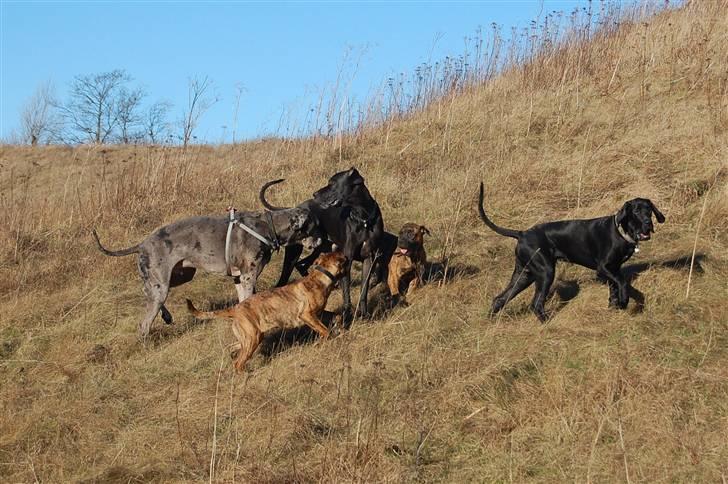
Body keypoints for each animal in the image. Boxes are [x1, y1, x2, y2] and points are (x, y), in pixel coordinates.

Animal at [186, 250, 348, 370]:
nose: (347, 254)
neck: (320, 278)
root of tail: (235, 309)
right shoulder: (306, 315)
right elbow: (325, 331)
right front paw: (325, 341)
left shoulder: (319, 313)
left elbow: (337, 316)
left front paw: (340, 329)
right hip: (253, 337)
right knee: (238, 363)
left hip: (247, 338)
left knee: (232, 348)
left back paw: (233, 356)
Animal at [478, 182, 664, 322]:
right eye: (636, 211)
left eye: (649, 210)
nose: (648, 223)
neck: (621, 232)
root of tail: (522, 233)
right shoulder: (603, 267)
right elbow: (623, 283)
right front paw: (625, 302)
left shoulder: (614, 269)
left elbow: (614, 289)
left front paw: (614, 307)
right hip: (545, 272)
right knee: (536, 303)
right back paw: (547, 323)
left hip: (525, 274)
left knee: (500, 298)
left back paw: (491, 321)